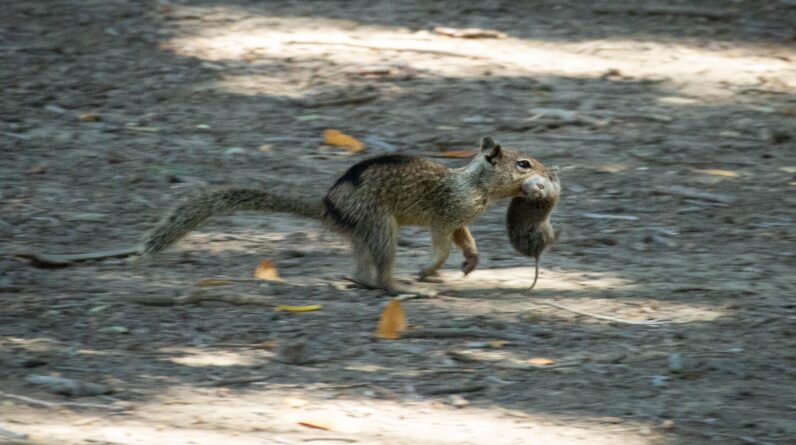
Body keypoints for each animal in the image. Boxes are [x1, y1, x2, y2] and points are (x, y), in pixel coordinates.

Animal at [143, 136, 552, 292]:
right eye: (523, 163)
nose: (549, 175)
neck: (475, 185)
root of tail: (327, 207)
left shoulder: (460, 220)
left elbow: (465, 240)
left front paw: (470, 262)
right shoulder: (446, 214)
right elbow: (442, 245)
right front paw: (429, 268)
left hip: (364, 232)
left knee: (362, 267)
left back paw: (361, 281)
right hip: (381, 225)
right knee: (383, 270)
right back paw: (399, 286)